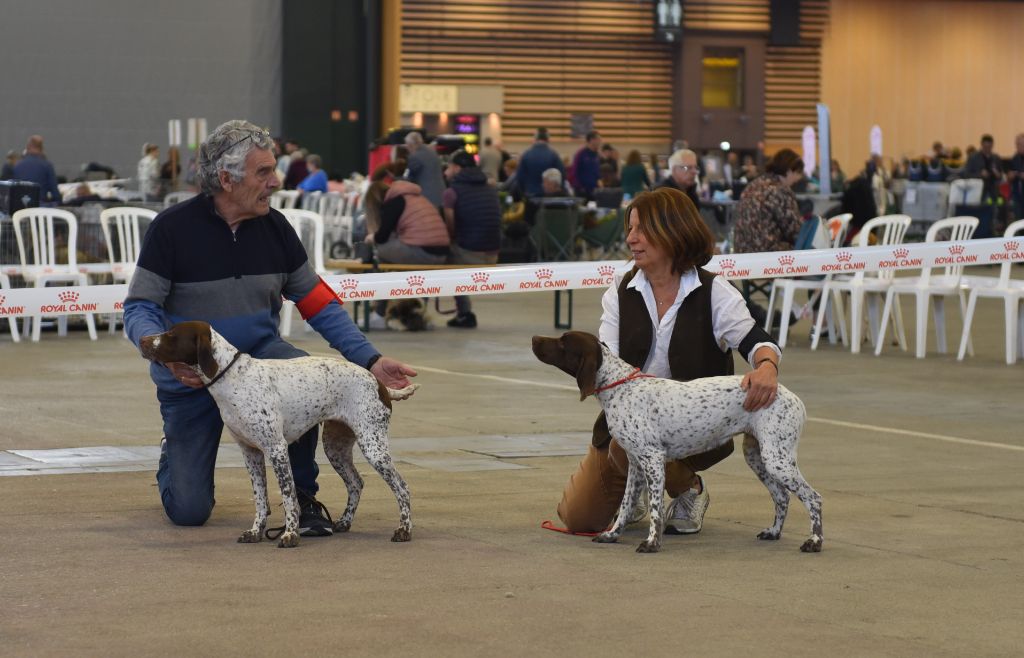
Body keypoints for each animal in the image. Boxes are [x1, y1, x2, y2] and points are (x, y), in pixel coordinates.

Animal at [140, 321, 415, 548]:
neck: (232, 379)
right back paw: (345, 522)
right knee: (356, 482)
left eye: (171, 334)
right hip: (336, 447)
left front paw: (290, 534)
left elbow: (289, 496)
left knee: (402, 487)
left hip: (373, 445)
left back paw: (404, 530)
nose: (143, 340)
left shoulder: (277, 449)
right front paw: (255, 532)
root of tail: (379, 383)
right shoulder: (250, 452)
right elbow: (260, 499)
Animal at [532, 331, 819, 552]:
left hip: (777, 459)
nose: (535, 339)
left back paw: (814, 541)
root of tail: (792, 397)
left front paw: (651, 543)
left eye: (563, 342)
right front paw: (612, 535)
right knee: (782, 497)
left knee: (813, 498)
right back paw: (774, 532)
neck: (622, 388)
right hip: (758, 457)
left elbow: (656, 510)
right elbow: (625, 505)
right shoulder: (635, 463)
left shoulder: (653, 459)